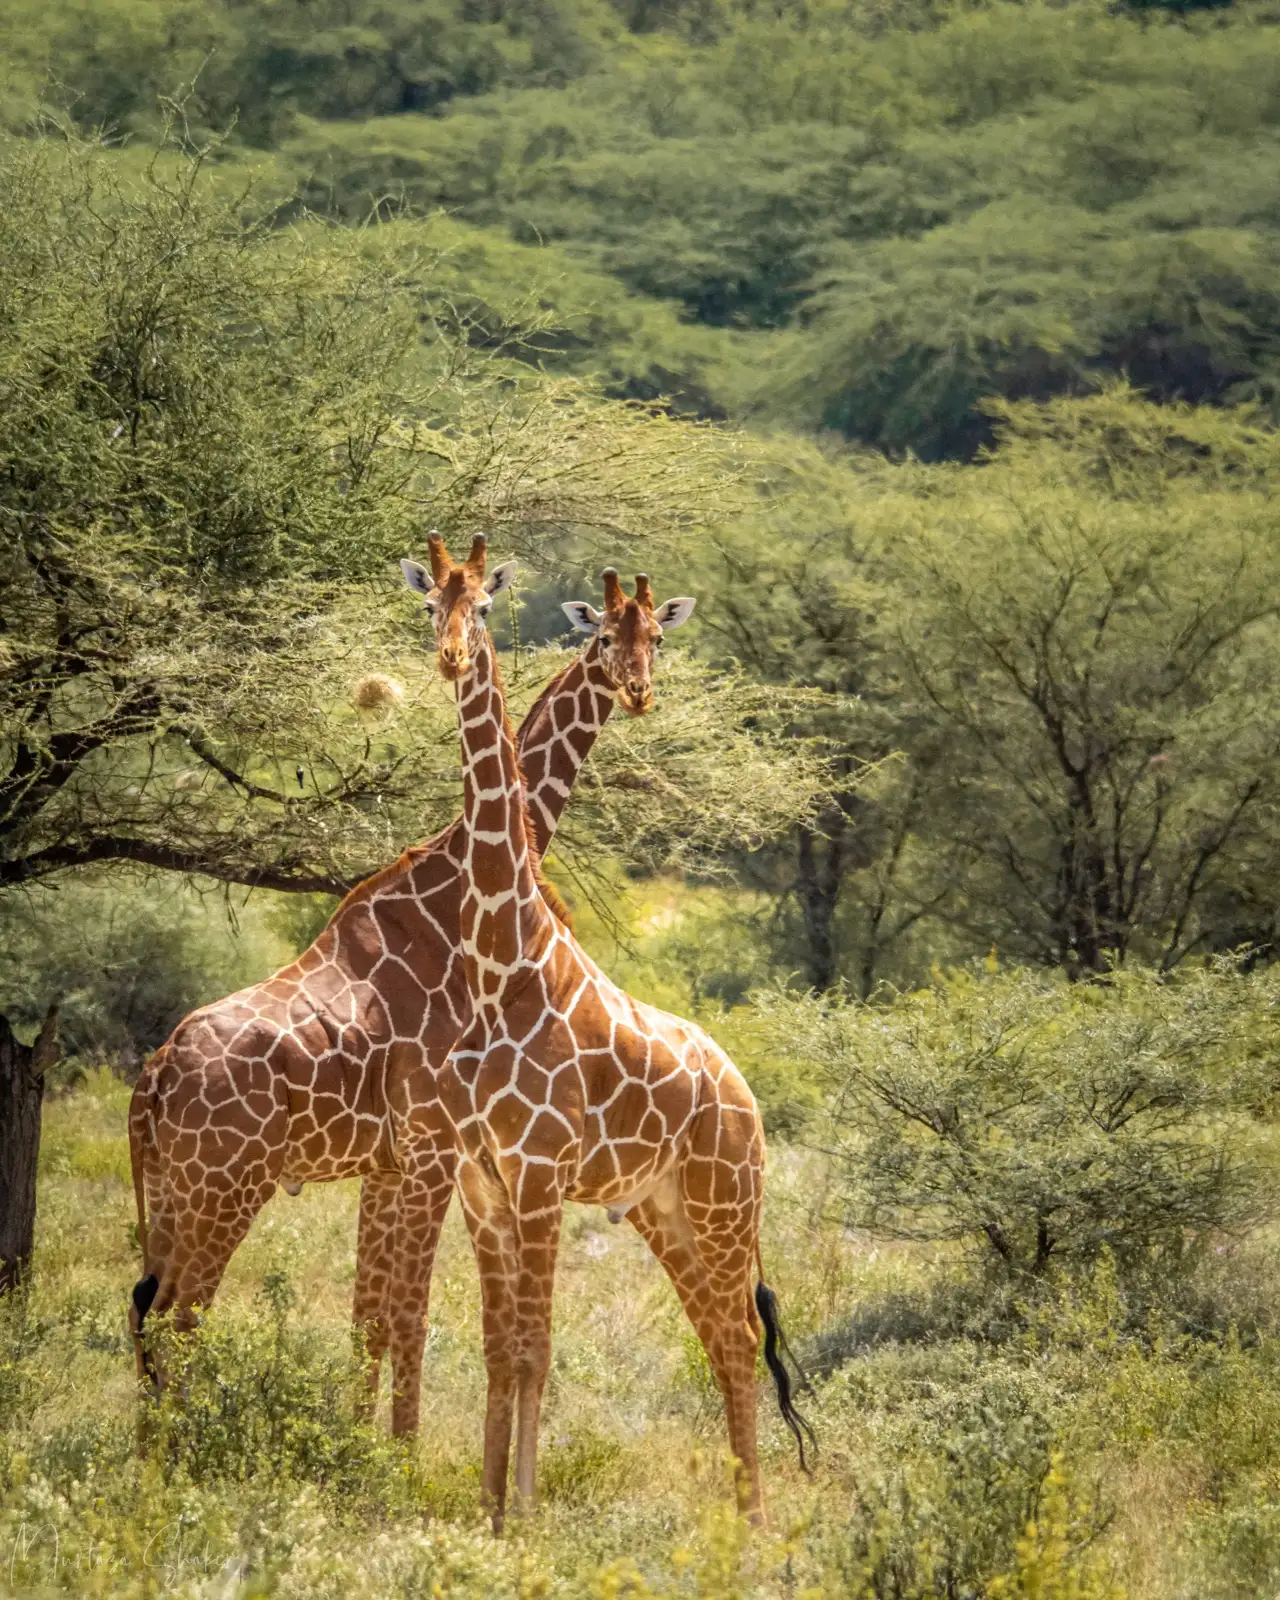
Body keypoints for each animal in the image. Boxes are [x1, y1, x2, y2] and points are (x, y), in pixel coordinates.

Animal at [126, 563, 674, 1435]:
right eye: (602, 636)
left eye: (656, 635)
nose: (638, 690)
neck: (455, 896)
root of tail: (152, 1080)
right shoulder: (435, 1151)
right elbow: (409, 1316)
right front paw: (395, 1456)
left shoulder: (385, 1165)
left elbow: (368, 1318)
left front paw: (362, 1446)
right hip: (226, 1186)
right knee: (181, 1318)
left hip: (171, 1193)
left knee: (147, 1312)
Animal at [410, 533, 809, 1532]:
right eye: (431, 603)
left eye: (483, 608)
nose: (453, 657)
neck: (502, 966)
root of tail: (747, 1094)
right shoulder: (483, 1181)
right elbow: (497, 1349)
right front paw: (489, 1511)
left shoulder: (540, 1176)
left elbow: (536, 1348)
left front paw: (524, 1518)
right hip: (665, 1210)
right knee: (721, 1336)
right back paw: (741, 1518)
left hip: (727, 1201)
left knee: (740, 1334)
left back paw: (754, 1526)